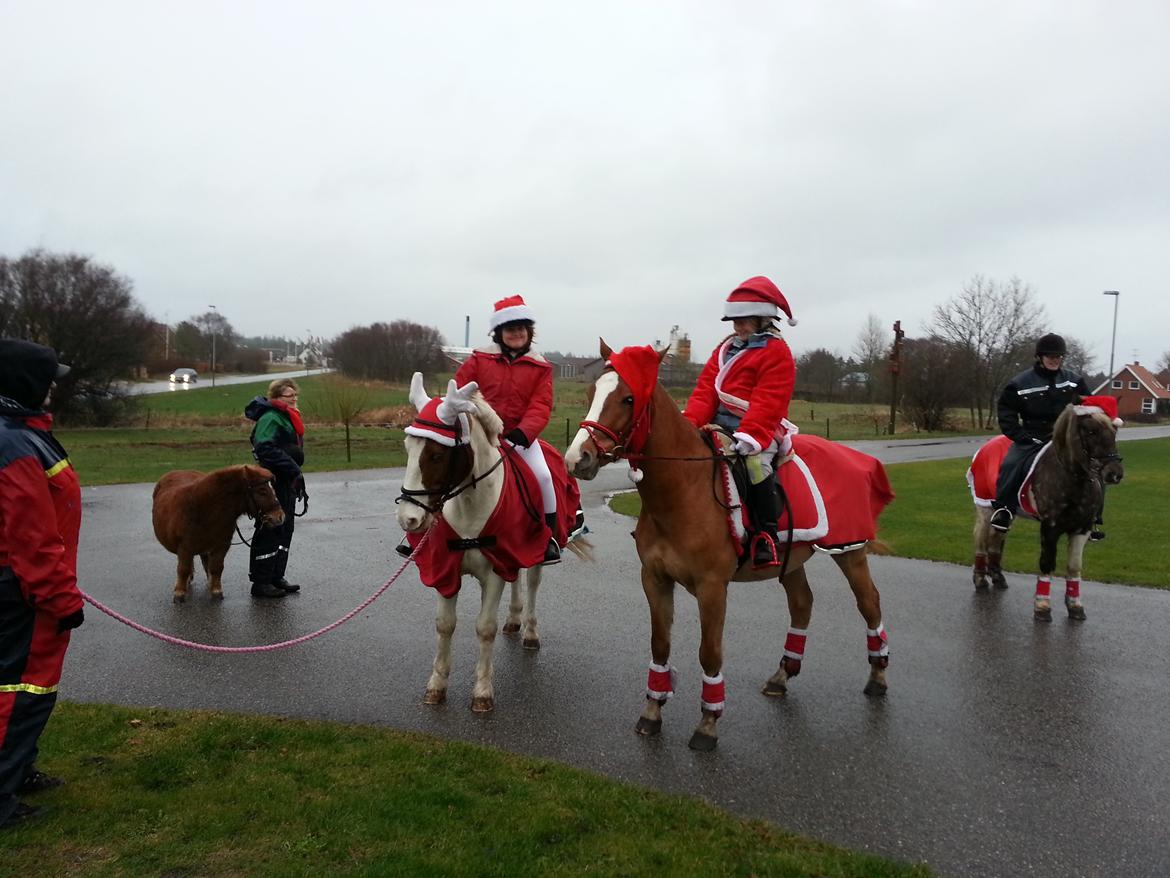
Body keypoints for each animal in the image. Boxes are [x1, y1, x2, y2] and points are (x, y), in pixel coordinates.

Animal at [150, 463, 283, 604]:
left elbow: (217, 568)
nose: (280, 517)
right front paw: (179, 593)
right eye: (262, 491)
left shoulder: (221, 546)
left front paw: (216, 591)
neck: (204, 509)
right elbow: (183, 569)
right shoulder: (185, 548)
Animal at [395, 374, 594, 711]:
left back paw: (529, 631)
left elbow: (484, 628)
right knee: (517, 581)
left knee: (532, 584)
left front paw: (482, 691)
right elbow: (444, 624)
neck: (469, 506)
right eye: (408, 447)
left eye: (436, 454)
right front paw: (437, 685)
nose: (408, 518)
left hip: (534, 554)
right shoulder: (447, 569)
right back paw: (513, 619)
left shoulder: (493, 573)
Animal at [566, 339, 893, 753]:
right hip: (792, 559)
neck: (683, 489)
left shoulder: (711, 588)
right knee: (802, 604)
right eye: (591, 393)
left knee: (870, 603)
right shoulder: (654, 579)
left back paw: (878, 676)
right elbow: (660, 644)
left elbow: (709, 652)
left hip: (850, 552)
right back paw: (782, 675)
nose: (578, 459)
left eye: (627, 398)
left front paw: (708, 722)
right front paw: (653, 711)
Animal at [968, 402, 1123, 622]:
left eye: (1114, 431)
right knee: (981, 540)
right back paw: (980, 578)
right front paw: (1042, 606)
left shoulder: (1081, 530)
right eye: (1091, 431)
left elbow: (1074, 567)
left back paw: (997, 576)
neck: (1071, 478)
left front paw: (1075, 606)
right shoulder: (1050, 527)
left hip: (1006, 511)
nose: (1115, 473)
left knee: (996, 538)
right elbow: (1047, 563)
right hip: (984, 507)